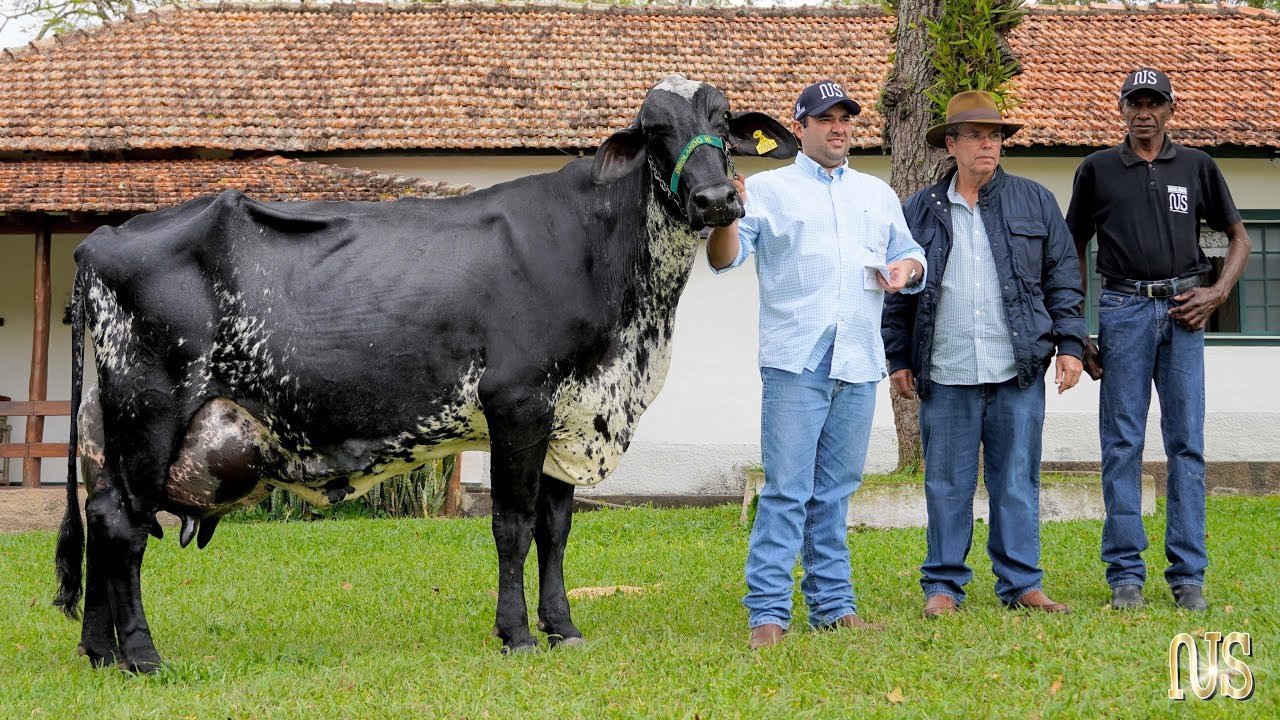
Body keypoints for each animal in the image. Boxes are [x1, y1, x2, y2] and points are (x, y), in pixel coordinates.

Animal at [55, 77, 793, 666]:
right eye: (654, 132)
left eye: (724, 120)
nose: (718, 198)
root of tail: (103, 238)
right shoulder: (518, 401)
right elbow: (513, 525)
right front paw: (517, 635)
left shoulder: (574, 413)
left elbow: (555, 529)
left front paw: (563, 629)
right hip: (150, 409)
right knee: (122, 525)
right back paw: (142, 655)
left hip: (109, 427)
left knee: (99, 518)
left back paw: (100, 652)